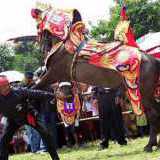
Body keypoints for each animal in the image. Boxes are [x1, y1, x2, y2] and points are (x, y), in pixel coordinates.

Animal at [31, 7, 160, 152]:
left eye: (37, 26)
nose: (42, 48)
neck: (65, 46)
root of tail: (153, 60)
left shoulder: (53, 73)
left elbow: (35, 87)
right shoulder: (64, 78)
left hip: (143, 92)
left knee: (154, 114)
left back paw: (150, 145)